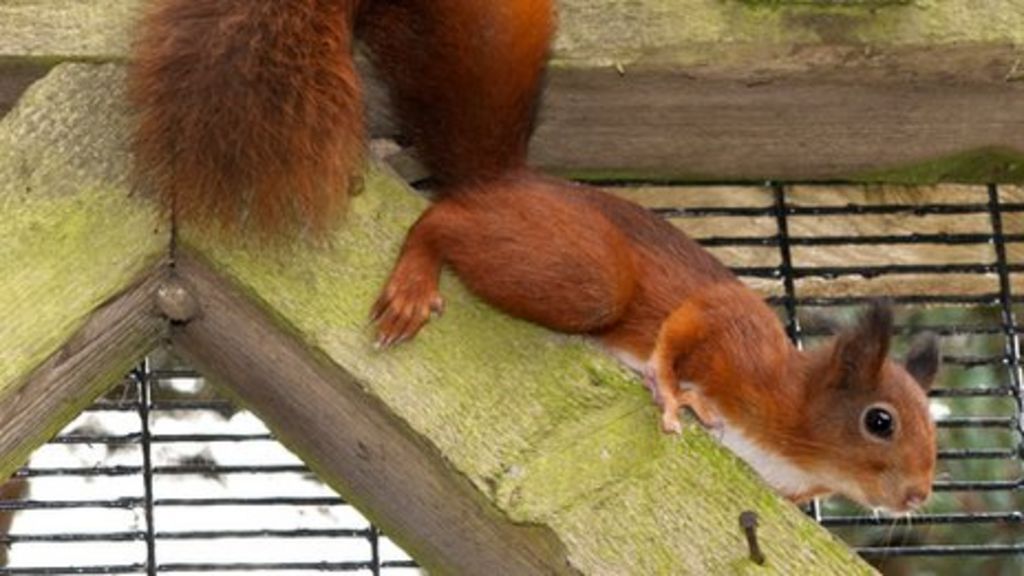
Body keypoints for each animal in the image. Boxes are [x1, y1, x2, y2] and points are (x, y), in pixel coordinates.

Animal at [132, 0, 937, 510]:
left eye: (933, 427)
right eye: (880, 421)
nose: (920, 495)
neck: (792, 433)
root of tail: (507, 181)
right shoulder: (740, 339)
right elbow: (691, 325)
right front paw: (673, 391)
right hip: (580, 274)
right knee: (444, 218)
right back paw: (419, 269)